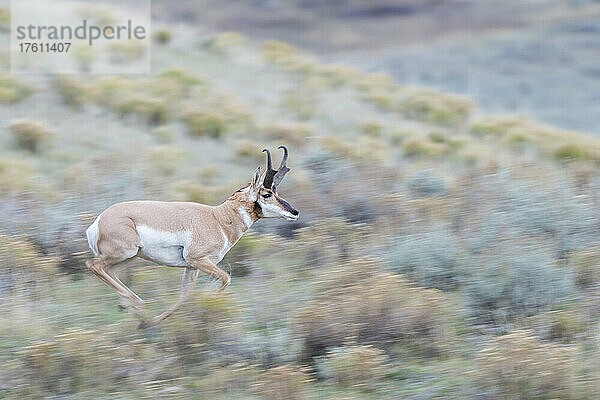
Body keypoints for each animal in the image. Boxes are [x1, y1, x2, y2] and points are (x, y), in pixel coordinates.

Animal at [86, 147, 298, 328]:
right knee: (93, 265)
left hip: (130, 257)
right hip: (125, 253)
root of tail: (99, 221)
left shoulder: (191, 267)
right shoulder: (199, 260)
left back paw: (131, 309)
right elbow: (226, 279)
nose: (295, 212)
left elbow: (185, 296)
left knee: (109, 272)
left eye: (276, 191)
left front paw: (152, 323)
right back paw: (138, 307)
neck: (218, 218)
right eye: (267, 193)